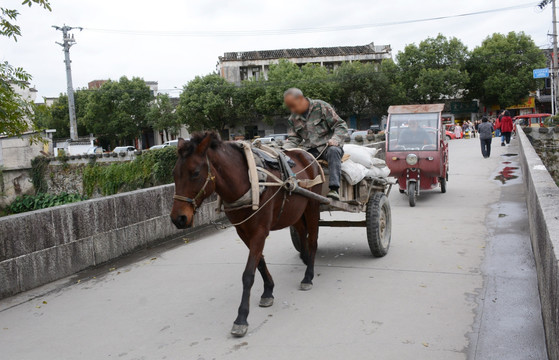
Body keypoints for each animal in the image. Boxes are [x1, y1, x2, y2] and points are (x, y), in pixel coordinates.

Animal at [172, 132, 324, 338]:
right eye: (174, 174)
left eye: (195, 173)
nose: (178, 218)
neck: (249, 182)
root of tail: (308, 155)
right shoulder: (243, 231)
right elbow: (259, 263)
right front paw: (268, 291)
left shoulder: (260, 231)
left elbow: (248, 274)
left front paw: (241, 318)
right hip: (295, 211)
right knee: (302, 233)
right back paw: (306, 260)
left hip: (313, 205)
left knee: (313, 240)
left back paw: (308, 276)